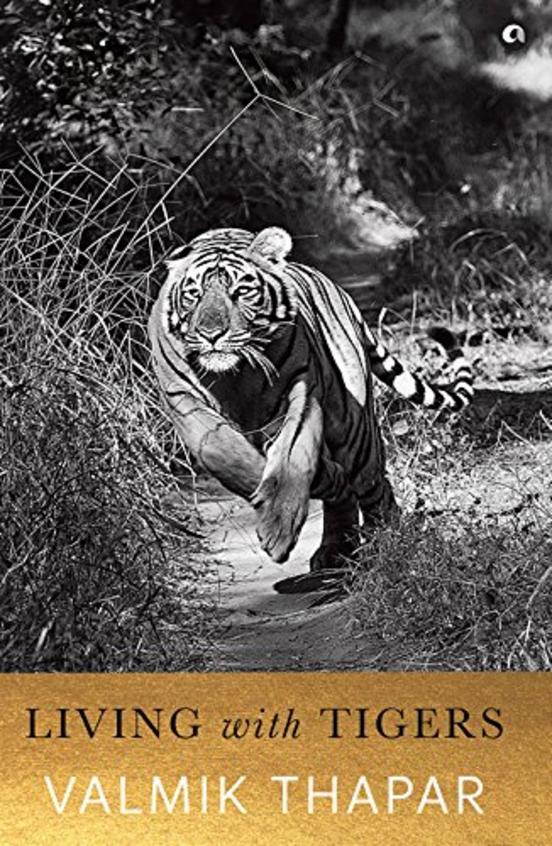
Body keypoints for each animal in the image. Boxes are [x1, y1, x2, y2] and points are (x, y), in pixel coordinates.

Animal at [148, 226, 473, 583]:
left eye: (242, 291)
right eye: (193, 293)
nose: (211, 334)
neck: (235, 376)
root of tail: (343, 296)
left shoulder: (302, 391)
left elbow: (294, 453)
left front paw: (278, 527)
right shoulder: (184, 401)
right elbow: (222, 452)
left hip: (354, 432)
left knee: (373, 485)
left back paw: (386, 541)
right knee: (345, 494)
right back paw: (338, 544)